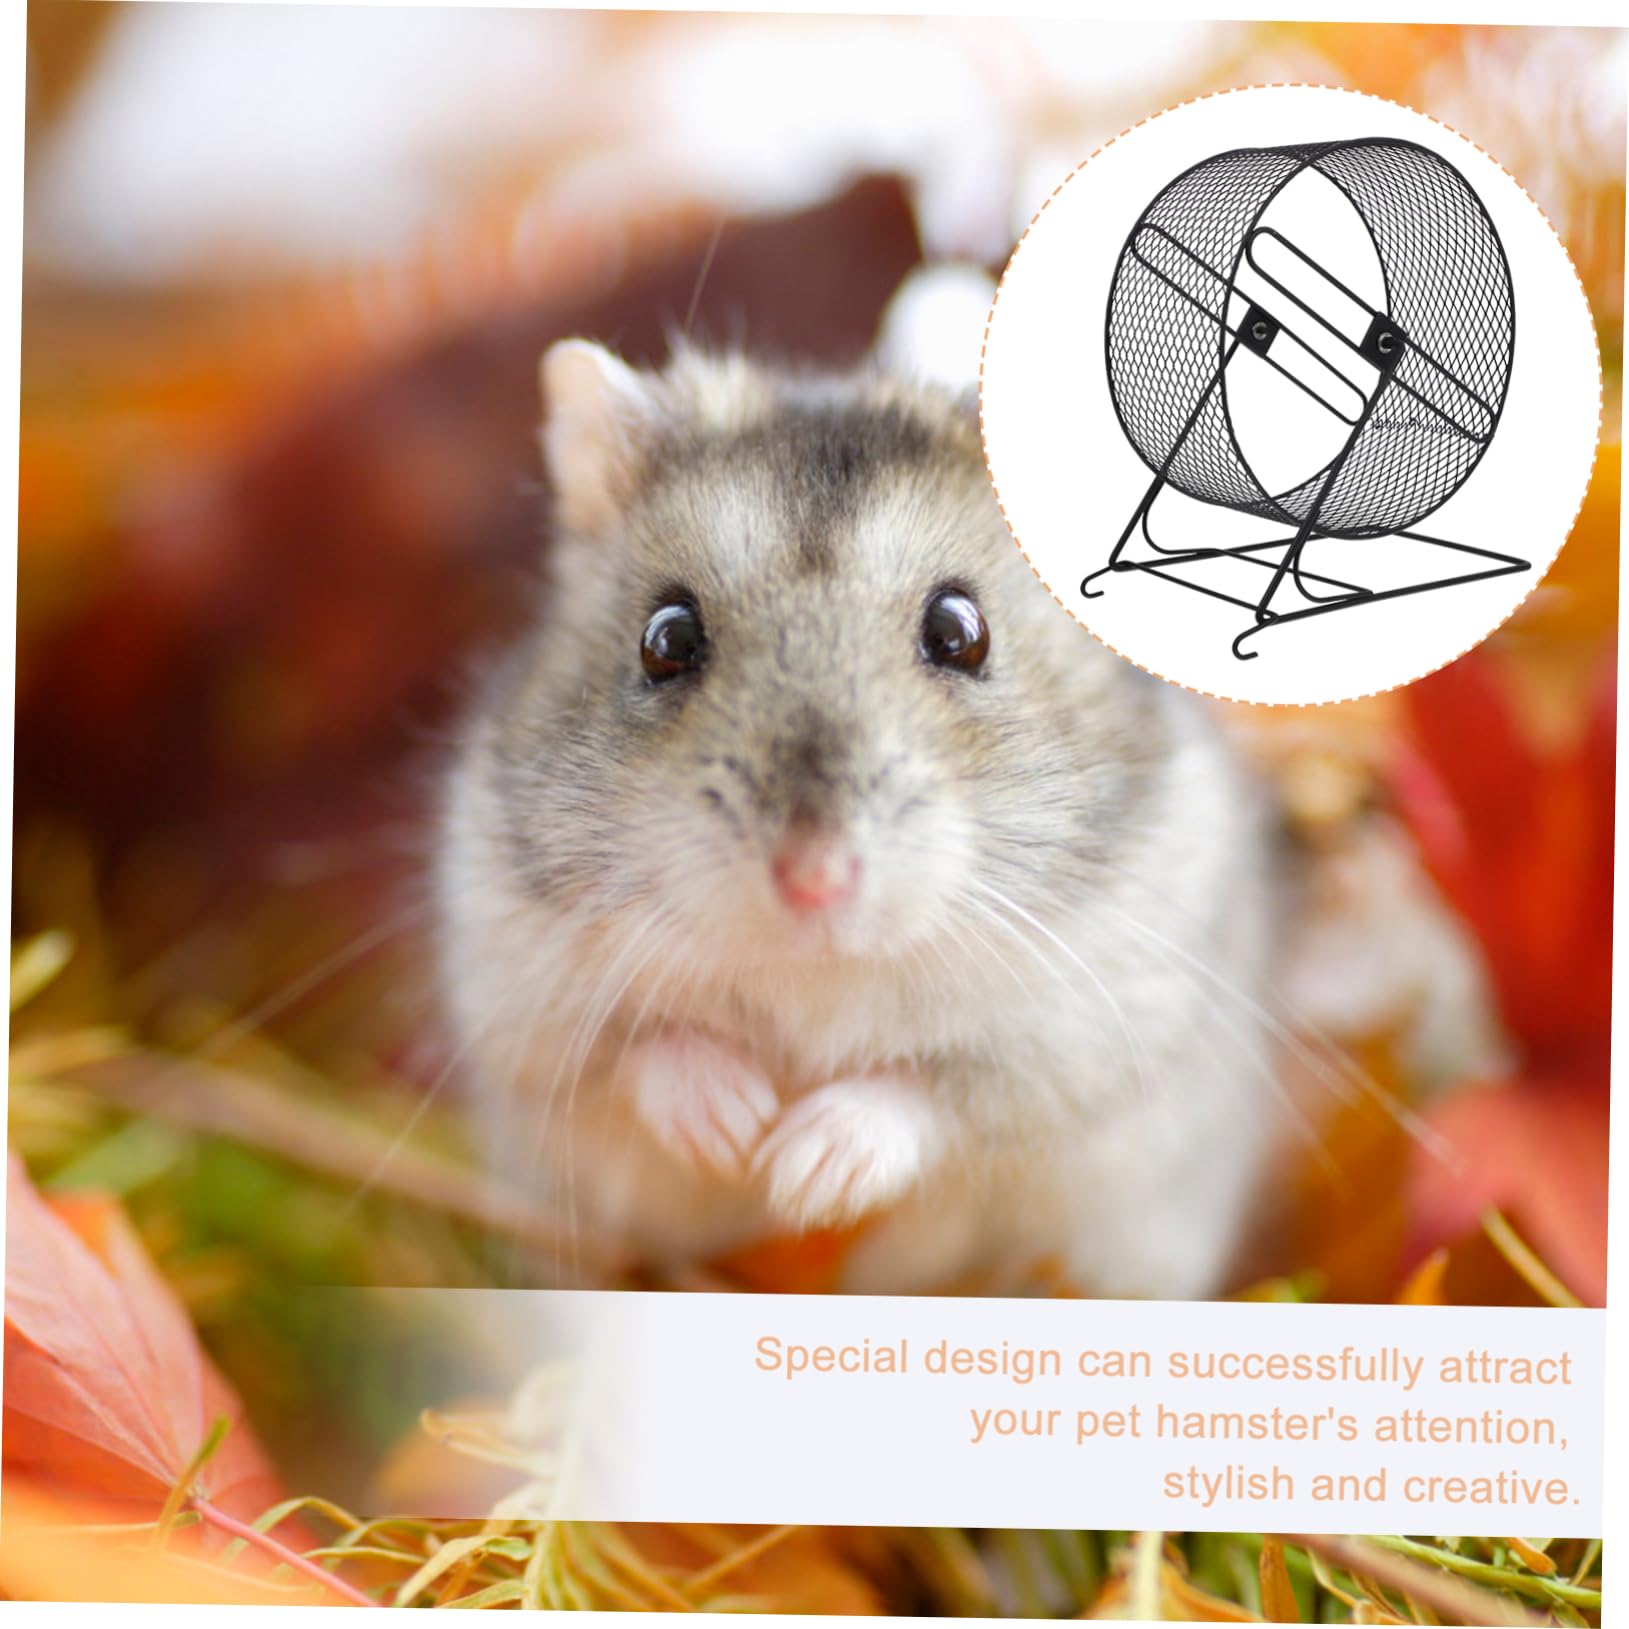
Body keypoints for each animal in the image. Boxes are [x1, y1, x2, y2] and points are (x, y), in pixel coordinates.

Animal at [436, 339, 1285, 1298]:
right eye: (665, 639)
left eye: (960, 631)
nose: (813, 879)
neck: (813, 973)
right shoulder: (518, 1002)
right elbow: (636, 1054)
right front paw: (740, 1128)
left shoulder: (1091, 1033)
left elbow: (937, 1093)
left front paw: (802, 1166)